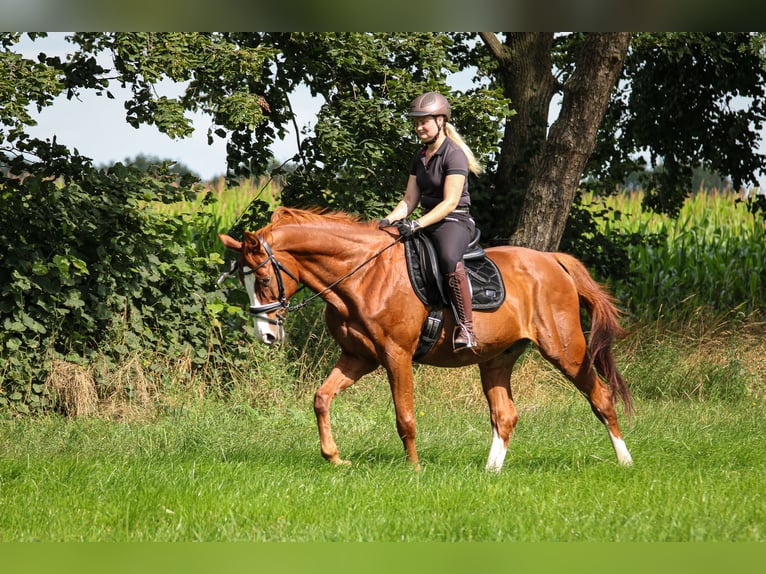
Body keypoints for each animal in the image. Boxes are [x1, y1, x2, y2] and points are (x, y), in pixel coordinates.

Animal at [218, 207, 636, 472]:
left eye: (265, 279)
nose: (266, 334)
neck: (361, 275)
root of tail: (552, 260)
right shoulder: (358, 357)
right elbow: (322, 398)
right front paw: (334, 458)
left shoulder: (396, 355)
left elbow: (405, 417)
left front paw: (415, 470)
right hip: (496, 358)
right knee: (505, 415)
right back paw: (489, 472)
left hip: (565, 350)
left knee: (601, 397)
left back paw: (625, 462)